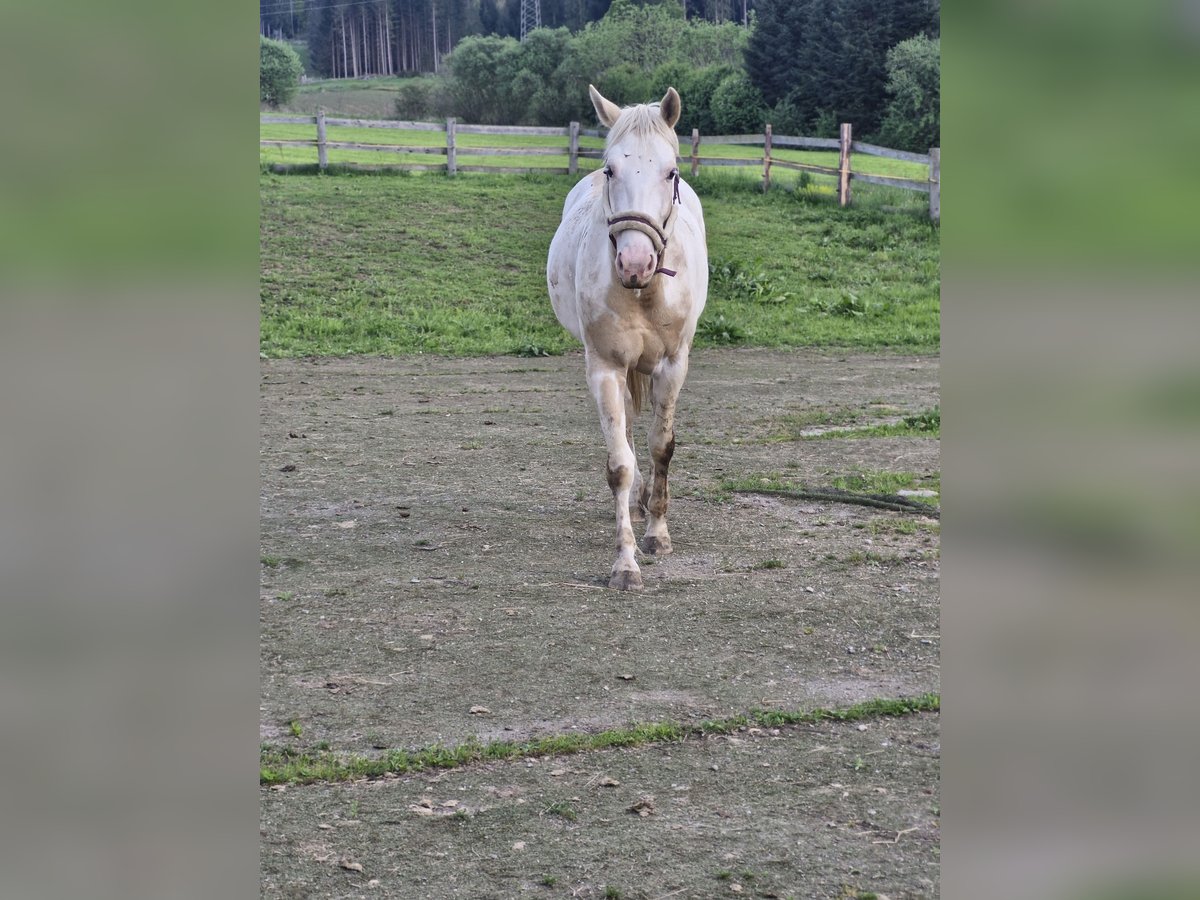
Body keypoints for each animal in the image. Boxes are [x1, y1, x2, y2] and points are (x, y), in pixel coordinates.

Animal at [547, 85, 708, 591]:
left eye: (670, 171)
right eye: (609, 169)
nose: (635, 263)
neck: (644, 290)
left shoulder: (674, 365)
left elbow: (662, 446)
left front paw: (657, 534)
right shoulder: (605, 368)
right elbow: (620, 463)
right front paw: (625, 562)